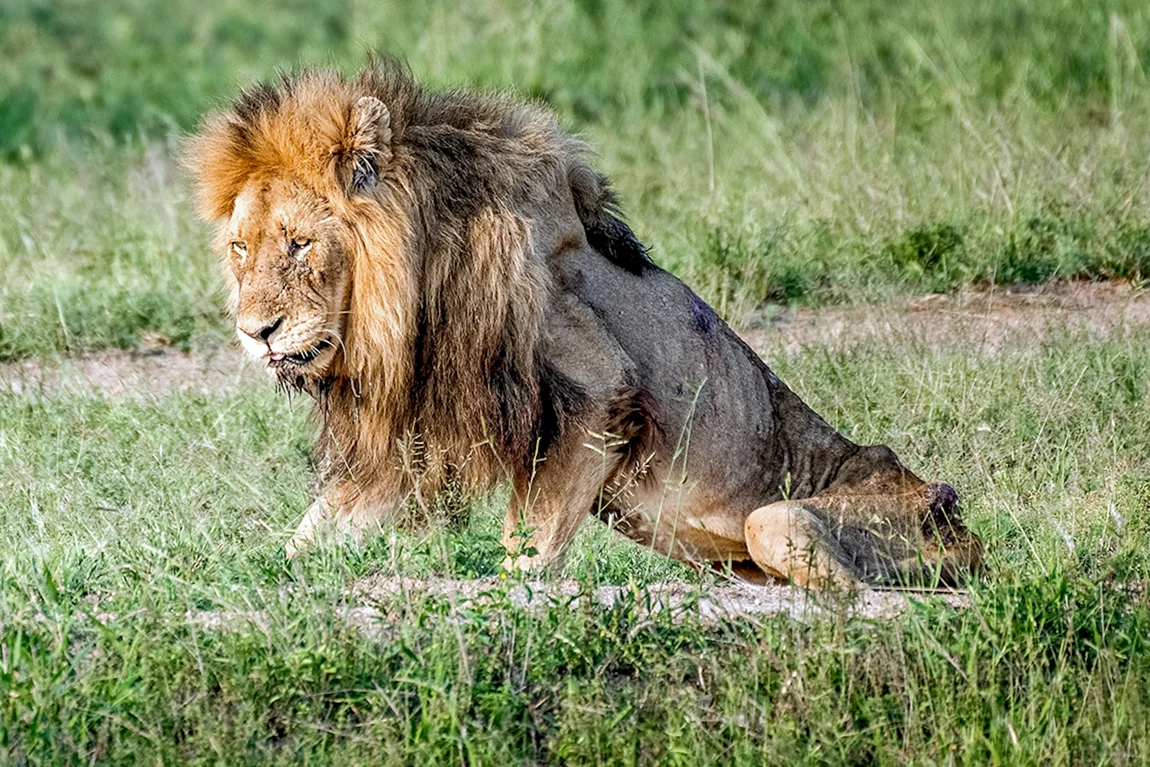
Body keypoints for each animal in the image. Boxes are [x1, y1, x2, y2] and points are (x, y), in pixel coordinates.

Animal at [187, 64, 982, 589]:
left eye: (300, 244)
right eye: (240, 248)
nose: (255, 332)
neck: (420, 284)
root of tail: (968, 530)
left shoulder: (600, 392)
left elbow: (529, 544)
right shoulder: (414, 433)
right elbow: (314, 529)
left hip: (810, 521)